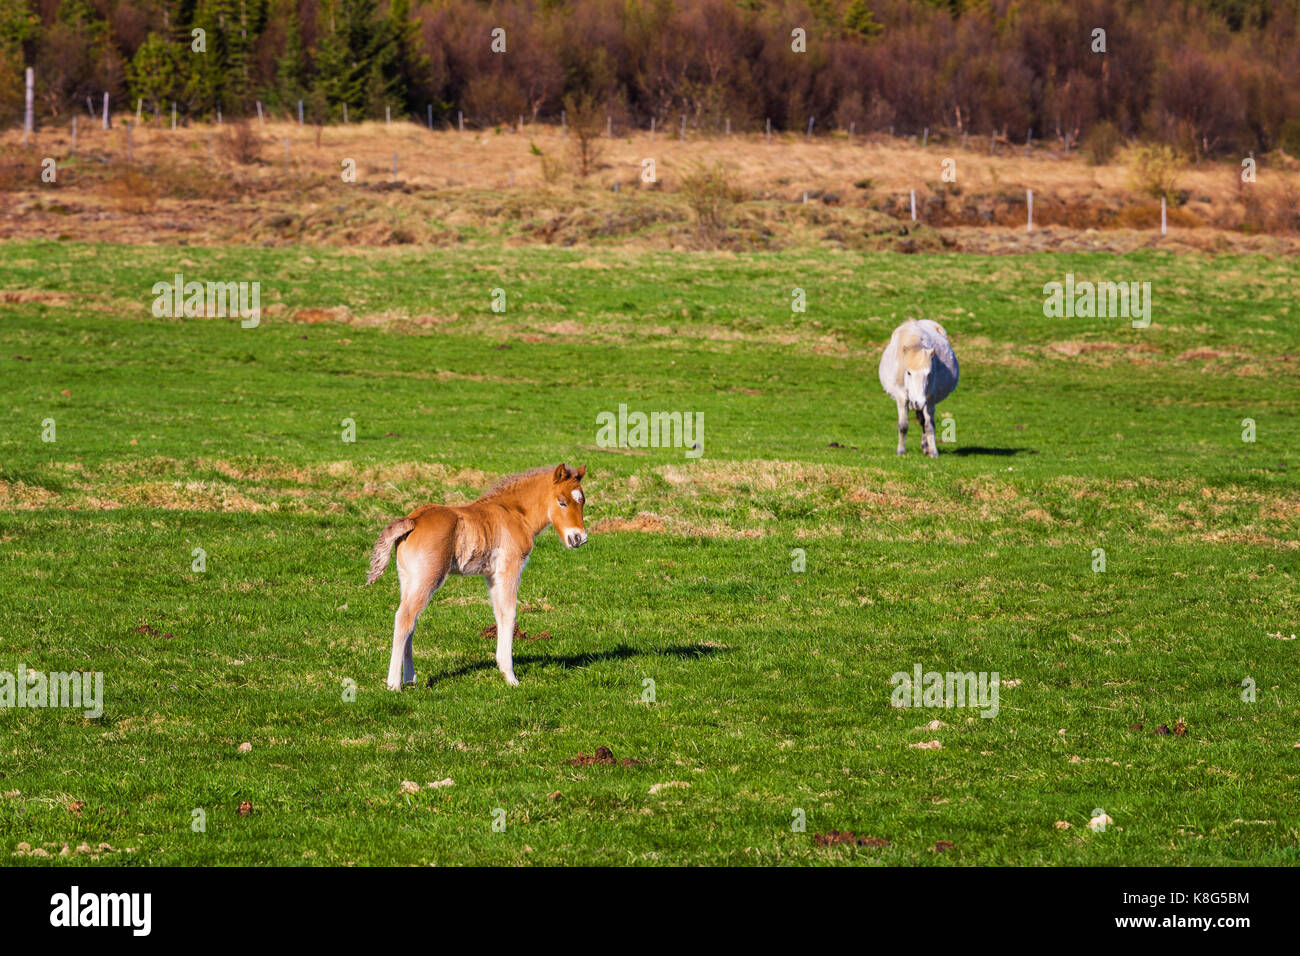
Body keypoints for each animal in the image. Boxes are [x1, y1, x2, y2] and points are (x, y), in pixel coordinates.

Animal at [367, 463, 588, 688]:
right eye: (562, 502)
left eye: (583, 501)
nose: (579, 538)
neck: (514, 514)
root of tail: (412, 520)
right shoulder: (510, 569)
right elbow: (510, 614)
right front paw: (511, 677)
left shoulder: (492, 576)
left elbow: (499, 613)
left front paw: (502, 667)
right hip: (428, 578)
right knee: (404, 618)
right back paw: (394, 684)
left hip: (408, 580)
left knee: (411, 621)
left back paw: (410, 678)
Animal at [877, 319, 959, 457]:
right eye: (908, 372)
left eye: (929, 373)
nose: (919, 402)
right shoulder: (901, 397)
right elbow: (903, 426)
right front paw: (901, 451)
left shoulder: (929, 398)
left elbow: (929, 426)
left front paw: (933, 452)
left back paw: (926, 448)